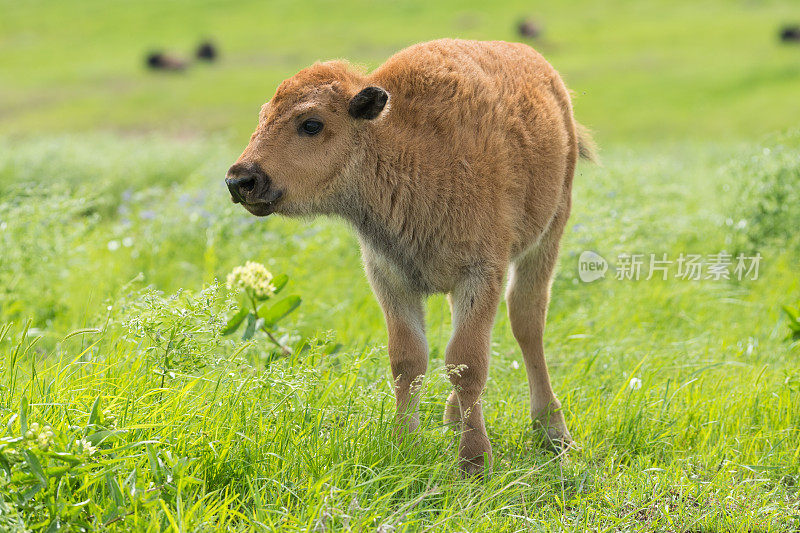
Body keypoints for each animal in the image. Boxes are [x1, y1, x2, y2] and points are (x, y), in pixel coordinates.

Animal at [225, 38, 592, 474]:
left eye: (311, 124)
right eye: (263, 116)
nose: (241, 180)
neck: (404, 146)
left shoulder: (481, 272)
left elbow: (467, 362)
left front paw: (475, 462)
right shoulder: (390, 277)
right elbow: (408, 360)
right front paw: (403, 446)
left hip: (549, 234)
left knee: (527, 324)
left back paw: (552, 430)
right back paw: (454, 418)